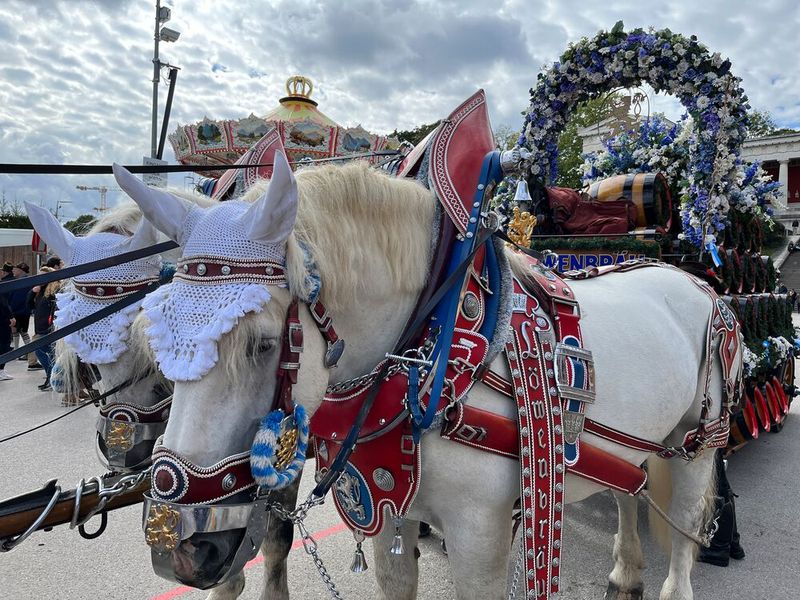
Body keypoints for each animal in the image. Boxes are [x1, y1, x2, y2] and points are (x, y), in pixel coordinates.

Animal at [112, 151, 742, 600]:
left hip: (697, 440)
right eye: (157, 336)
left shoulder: (480, 536)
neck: (428, 363)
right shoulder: (390, 511)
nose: (176, 547)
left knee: (683, 533)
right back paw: (626, 573)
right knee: (628, 490)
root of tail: (693, 279)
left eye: (263, 343)